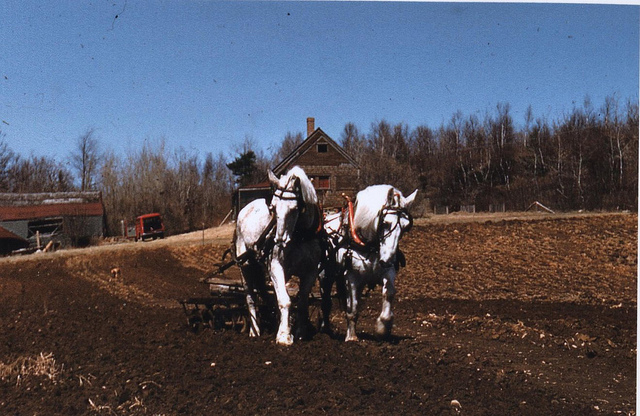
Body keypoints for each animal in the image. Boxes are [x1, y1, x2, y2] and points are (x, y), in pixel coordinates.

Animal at [234, 165, 324, 344]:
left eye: (295, 208)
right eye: (273, 208)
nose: (279, 240)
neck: (300, 236)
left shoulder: (311, 271)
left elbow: (301, 301)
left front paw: (299, 332)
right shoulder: (276, 266)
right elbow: (285, 300)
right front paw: (284, 336)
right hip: (245, 265)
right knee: (250, 296)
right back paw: (255, 330)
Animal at [320, 185, 420, 342]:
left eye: (405, 227)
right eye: (386, 223)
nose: (388, 260)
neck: (369, 245)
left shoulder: (387, 273)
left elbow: (388, 294)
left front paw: (382, 327)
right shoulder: (352, 278)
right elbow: (353, 308)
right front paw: (351, 337)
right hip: (325, 276)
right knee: (325, 301)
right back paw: (325, 330)